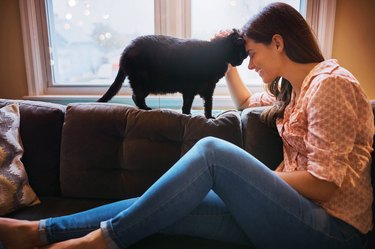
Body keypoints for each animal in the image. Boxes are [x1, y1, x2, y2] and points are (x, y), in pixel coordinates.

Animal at [98, 29, 248, 118]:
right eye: (242, 54)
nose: (241, 62)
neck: (217, 52)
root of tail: (126, 50)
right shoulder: (198, 88)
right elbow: (198, 104)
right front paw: (198, 116)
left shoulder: (200, 89)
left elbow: (198, 104)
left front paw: (198, 116)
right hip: (143, 82)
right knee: (136, 96)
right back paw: (146, 109)